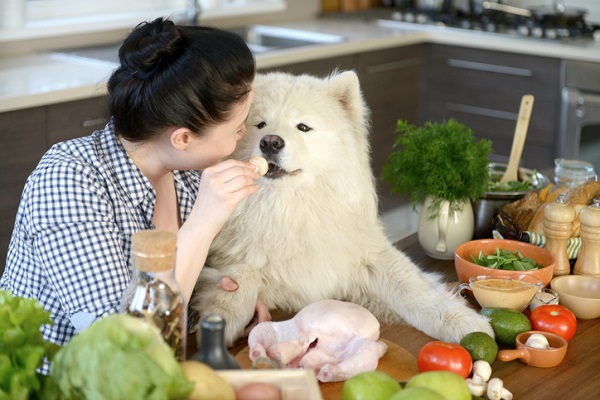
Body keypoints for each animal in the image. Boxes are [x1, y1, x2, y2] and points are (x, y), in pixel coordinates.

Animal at [192, 71, 492, 346]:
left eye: (303, 127)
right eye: (260, 124)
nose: (270, 141)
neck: (293, 211)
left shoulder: (371, 256)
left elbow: (417, 292)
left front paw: (467, 322)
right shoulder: (236, 257)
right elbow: (241, 274)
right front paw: (222, 317)